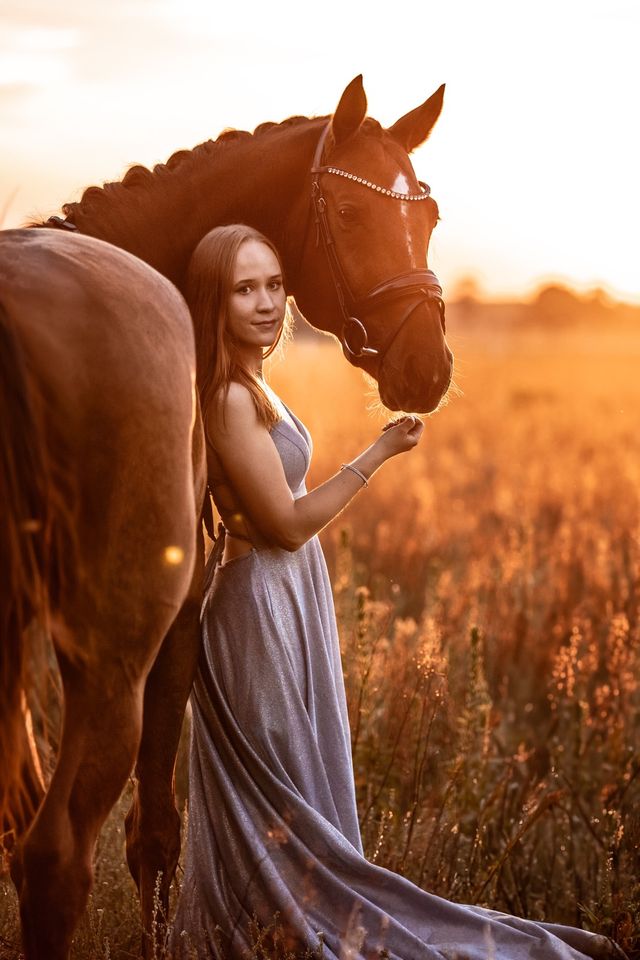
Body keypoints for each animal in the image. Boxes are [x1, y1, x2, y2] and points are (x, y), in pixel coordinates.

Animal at [1, 77, 450, 960]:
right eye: (351, 214)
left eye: (433, 216)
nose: (431, 367)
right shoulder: (179, 619)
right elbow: (154, 834)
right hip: (113, 651)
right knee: (56, 856)